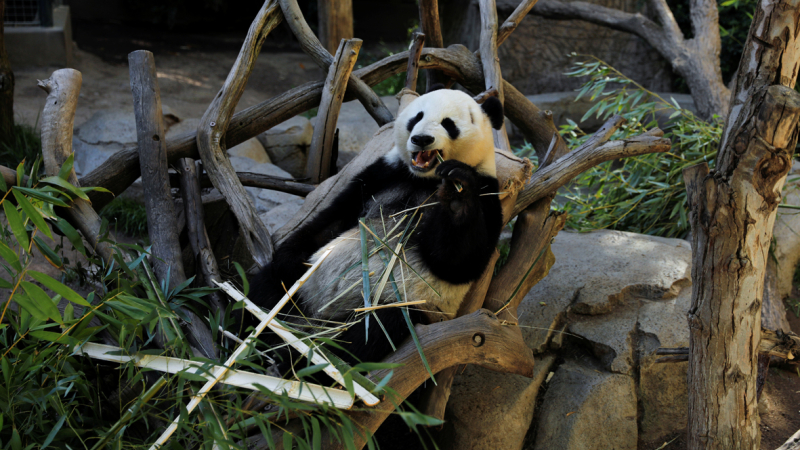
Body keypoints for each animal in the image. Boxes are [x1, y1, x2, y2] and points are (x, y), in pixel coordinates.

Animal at [250, 87, 505, 368]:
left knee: (372, 332)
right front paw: (290, 259)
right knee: (266, 290)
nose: (422, 139)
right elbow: (334, 220)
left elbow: (457, 263)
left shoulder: (487, 193)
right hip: (303, 292)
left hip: (396, 305)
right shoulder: (385, 173)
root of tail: (318, 317)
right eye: (417, 117)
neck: (424, 180)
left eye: (449, 124)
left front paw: (457, 194)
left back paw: (298, 357)